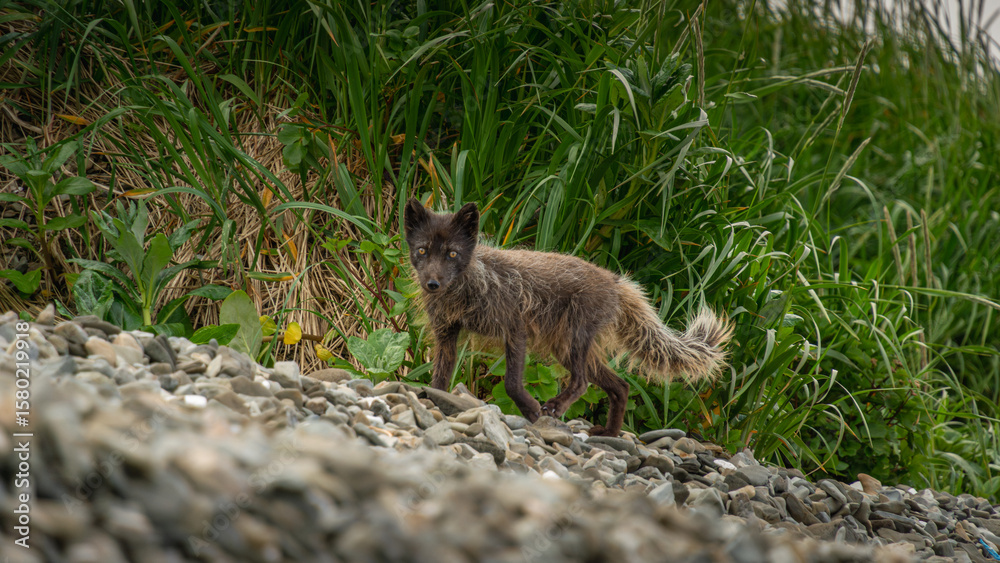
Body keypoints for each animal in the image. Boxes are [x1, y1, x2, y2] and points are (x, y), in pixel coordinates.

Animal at [403, 198, 733, 436]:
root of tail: (616, 282)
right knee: (620, 387)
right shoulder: (446, 333)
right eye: (422, 251)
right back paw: (610, 434)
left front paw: (532, 411)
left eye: (453, 254)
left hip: (573, 343)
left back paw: (557, 407)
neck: (471, 286)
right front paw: (433, 402)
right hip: (566, 350)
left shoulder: (515, 329)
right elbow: (439, 378)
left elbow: (511, 383)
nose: (432, 284)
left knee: (582, 383)